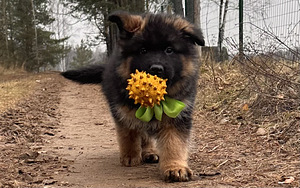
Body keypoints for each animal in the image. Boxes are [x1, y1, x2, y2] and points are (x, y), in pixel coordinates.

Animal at [62, 11, 205, 182]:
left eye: (169, 50)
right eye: (143, 50)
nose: (156, 69)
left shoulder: (177, 115)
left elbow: (174, 142)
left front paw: (175, 167)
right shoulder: (123, 111)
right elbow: (129, 134)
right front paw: (130, 155)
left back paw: (150, 152)